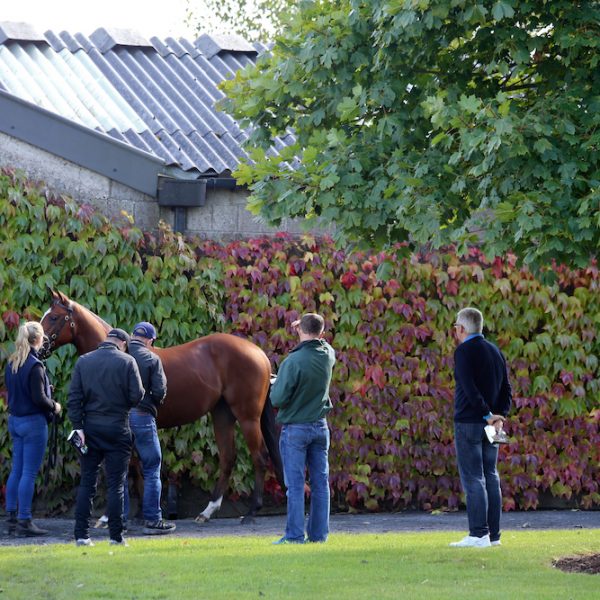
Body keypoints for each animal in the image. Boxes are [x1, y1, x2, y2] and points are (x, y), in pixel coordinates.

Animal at [39, 288, 284, 524]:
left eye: (53, 317)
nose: (39, 347)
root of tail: (258, 353)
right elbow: (135, 467)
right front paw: (139, 512)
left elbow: (129, 468)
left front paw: (121, 514)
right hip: (223, 415)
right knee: (227, 458)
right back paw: (207, 511)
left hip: (248, 417)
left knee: (260, 458)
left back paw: (251, 512)